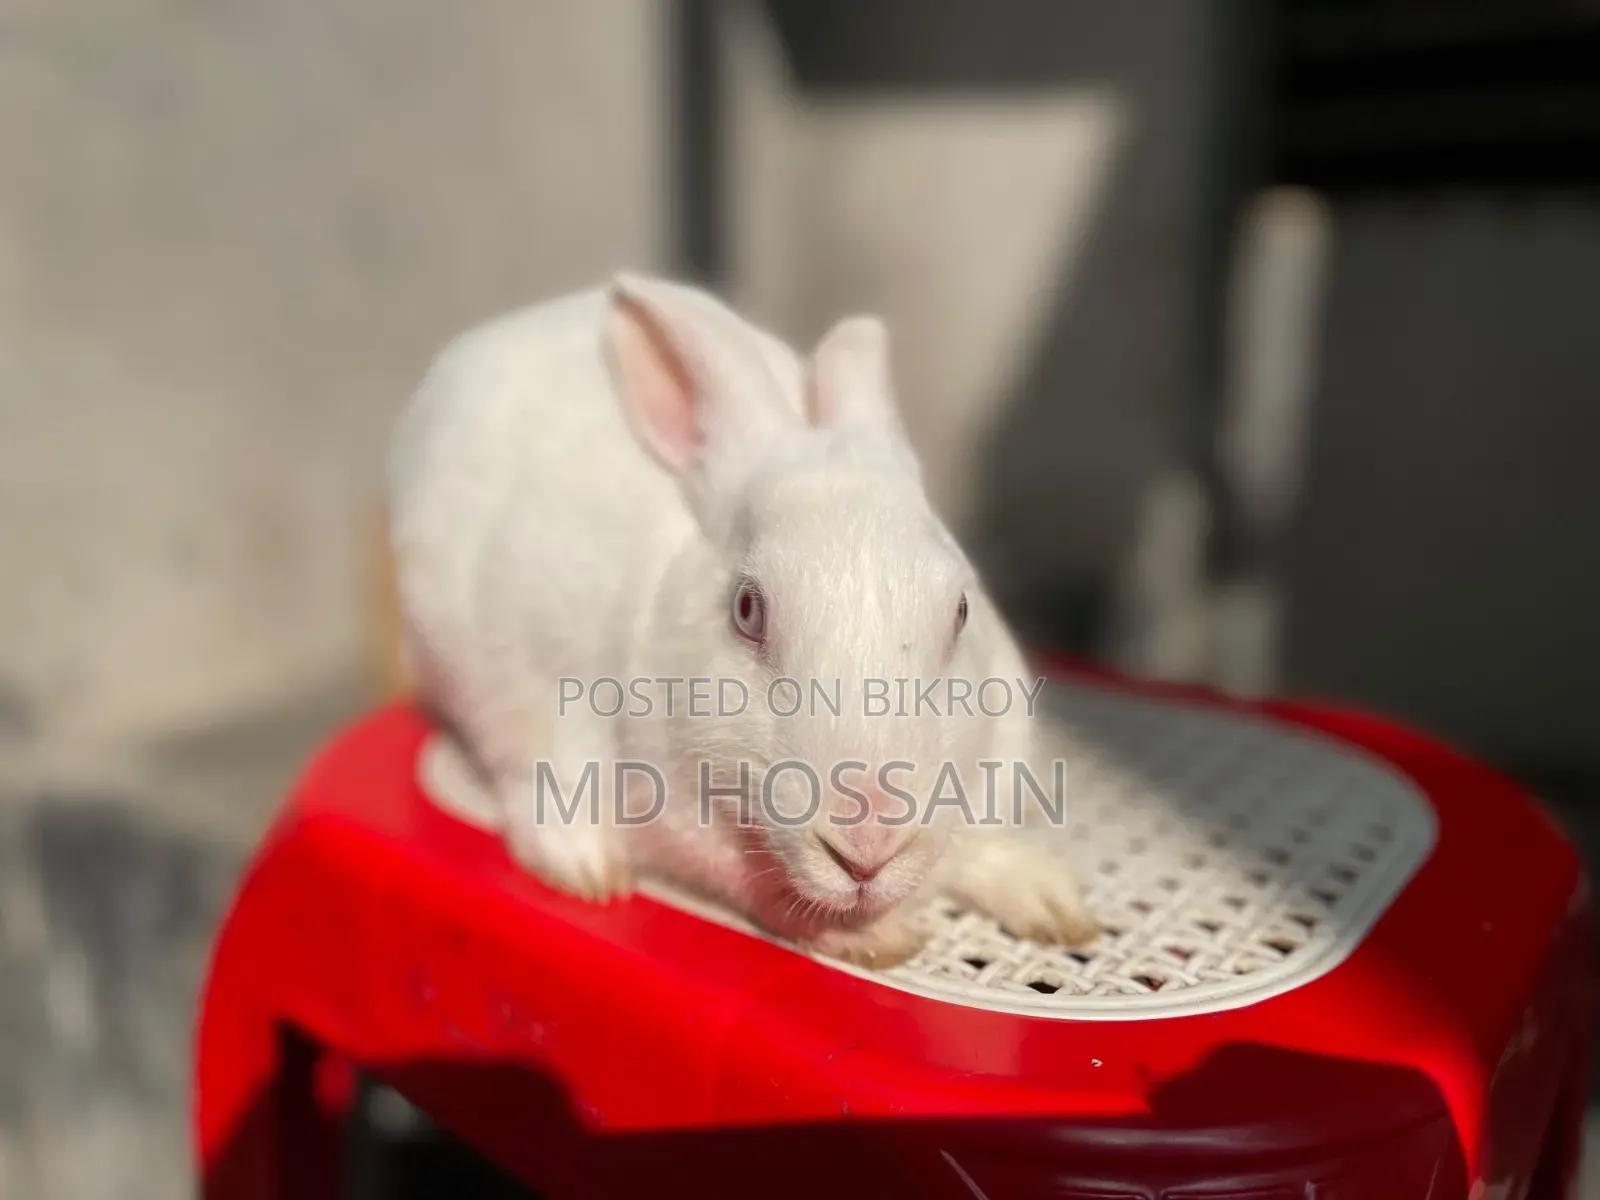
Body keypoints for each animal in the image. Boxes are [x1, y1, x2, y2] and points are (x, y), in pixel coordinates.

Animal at [387, 272, 1099, 968]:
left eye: (961, 612)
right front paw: (875, 939)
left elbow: (969, 854)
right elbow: (764, 890)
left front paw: (1053, 903)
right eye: (747, 609)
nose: (867, 843)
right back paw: (588, 871)